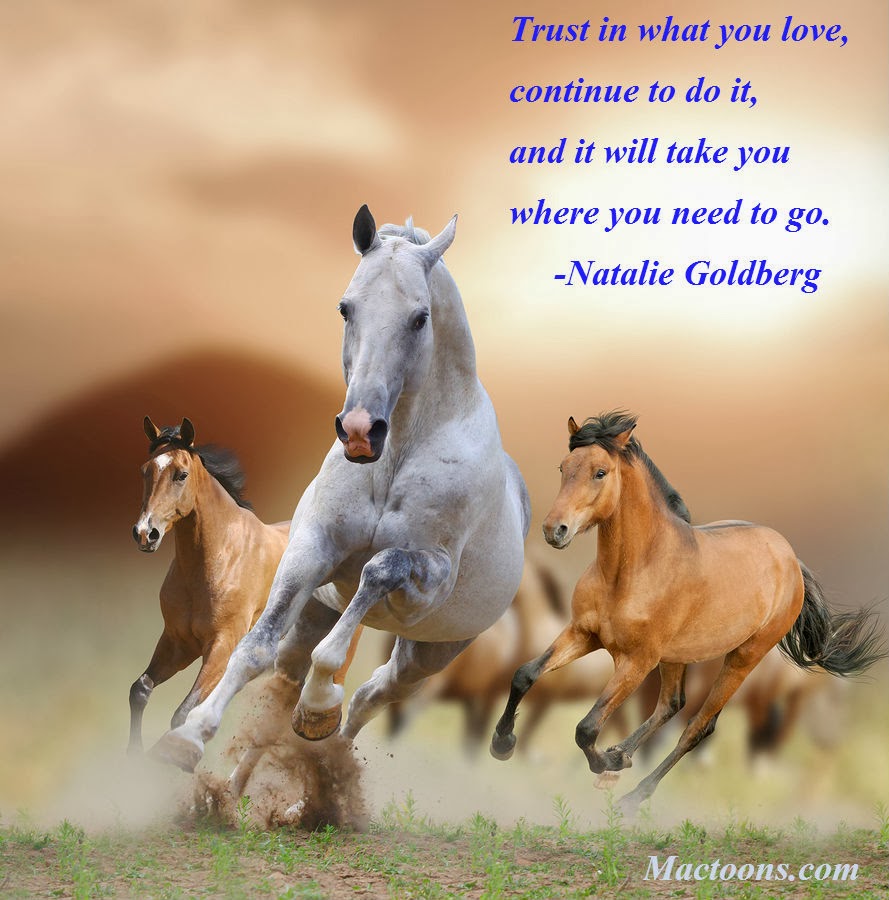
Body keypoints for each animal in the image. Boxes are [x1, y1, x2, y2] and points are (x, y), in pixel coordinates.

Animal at [129, 416, 361, 785]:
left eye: (181, 474)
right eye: (145, 471)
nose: (144, 533)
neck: (218, 557)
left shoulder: (222, 646)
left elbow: (183, 712)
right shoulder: (178, 643)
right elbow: (140, 689)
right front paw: (132, 760)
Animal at [151, 206, 530, 773]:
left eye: (420, 318)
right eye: (346, 309)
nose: (358, 430)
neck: (395, 458)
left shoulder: (428, 578)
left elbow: (377, 573)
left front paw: (318, 703)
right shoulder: (312, 549)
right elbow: (255, 647)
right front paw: (189, 737)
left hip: (428, 653)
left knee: (372, 695)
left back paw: (323, 743)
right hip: (317, 611)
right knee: (286, 680)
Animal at [491, 411, 884, 812]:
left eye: (600, 472)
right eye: (563, 467)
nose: (554, 530)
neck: (630, 572)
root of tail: (790, 559)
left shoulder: (636, 662)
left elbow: (586, 727)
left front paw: (604, 762)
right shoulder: (583, 634)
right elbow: (525, 674)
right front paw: (503, 744)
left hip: (742, 659)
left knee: (698, 727)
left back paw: (630, 795)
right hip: (677, 657)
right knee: (671, 705)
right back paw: (619, 759)